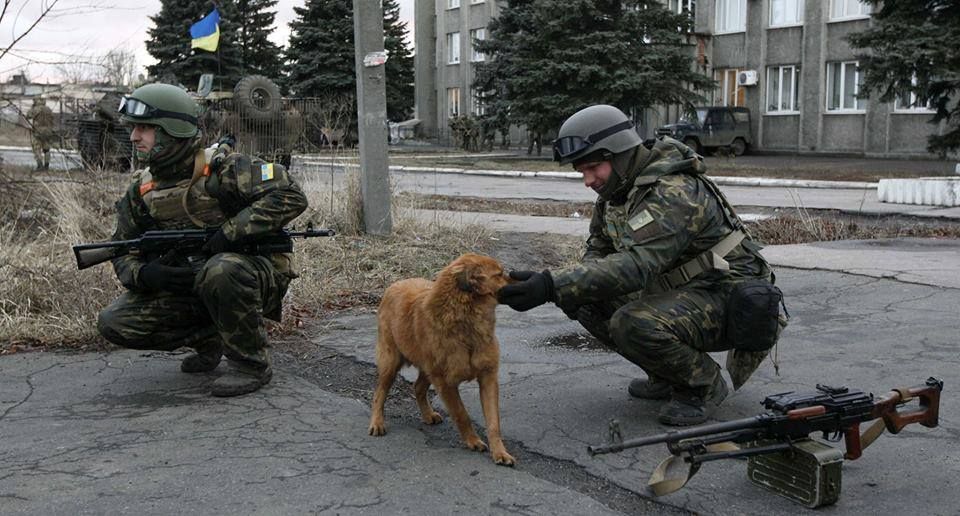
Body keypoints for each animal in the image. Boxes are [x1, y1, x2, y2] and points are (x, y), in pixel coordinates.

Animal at [368, 252, 516, 466]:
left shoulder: (488, 378)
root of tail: (396, 283)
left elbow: (493, 422)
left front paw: (500, 452)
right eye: (499, 274)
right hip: (391, 362)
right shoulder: (445, 383)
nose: (521, 279)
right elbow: (461, 414)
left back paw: (428, 414)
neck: (467, 320)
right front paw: (473, 441)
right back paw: (377, 422)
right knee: (379, 392)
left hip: (427, 367)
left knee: (418, 387)